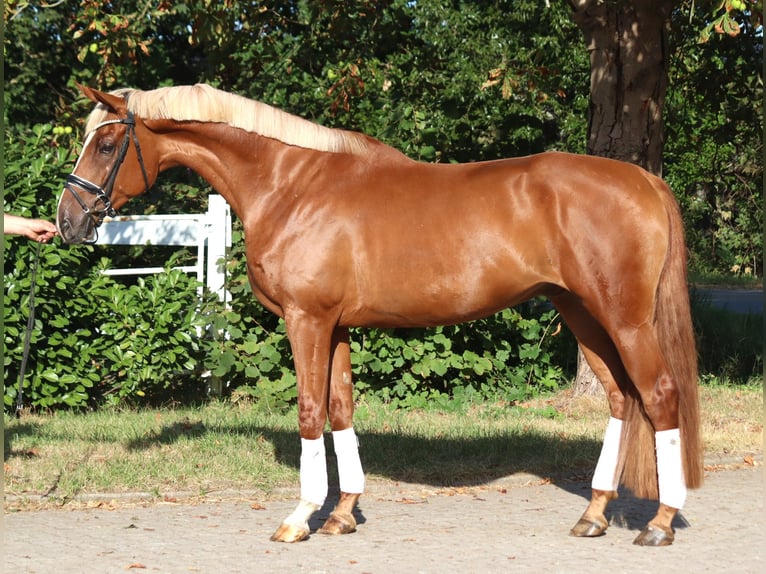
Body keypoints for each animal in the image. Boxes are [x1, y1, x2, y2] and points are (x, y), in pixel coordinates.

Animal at [56, 83, 702, 546]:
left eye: (107, 145)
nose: (67, 220)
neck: (291, 186)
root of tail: (643, 179)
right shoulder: (337, 325)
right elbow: (341, 408)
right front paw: (343, 514)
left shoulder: (307, 320)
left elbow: (310, 411)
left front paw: (300, 517)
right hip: (581, 313)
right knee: (621, 399)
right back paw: (593, 515)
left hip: (624, 319)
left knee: (659, 395)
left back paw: (659, 523)